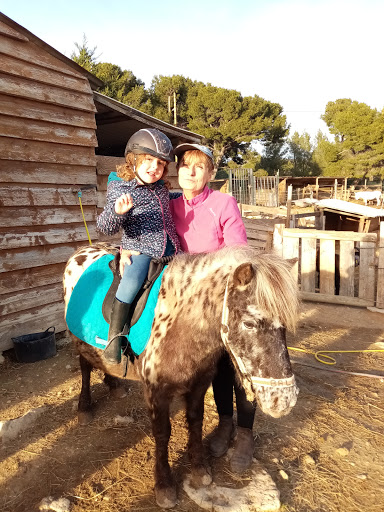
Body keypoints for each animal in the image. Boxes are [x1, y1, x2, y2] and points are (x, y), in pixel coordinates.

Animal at [63, 244, 300, 508]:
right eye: (249, 323)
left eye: (284, 325)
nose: (283, 400)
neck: (179, 324)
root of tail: (81, 251)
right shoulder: (156, 392)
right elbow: (162, 433)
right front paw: (164, 485)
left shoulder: (199, 384)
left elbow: (195, 422)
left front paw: (199, 468)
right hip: (78, 341)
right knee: (85, 367)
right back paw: (85, 407)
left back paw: (114, 385)